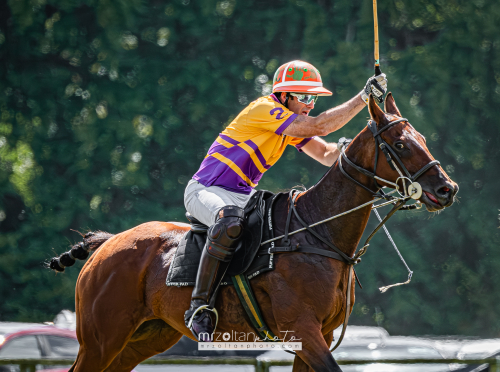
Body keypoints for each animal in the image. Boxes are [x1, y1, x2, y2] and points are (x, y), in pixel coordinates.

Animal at [51, 94, 458, 370]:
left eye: (423, 138)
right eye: (401, 144)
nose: (447, 189)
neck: (318, 234)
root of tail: (107, 245)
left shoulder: (320, 334)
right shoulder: (303, 329)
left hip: (145, 336)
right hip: (101, 337)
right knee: (227, 224)